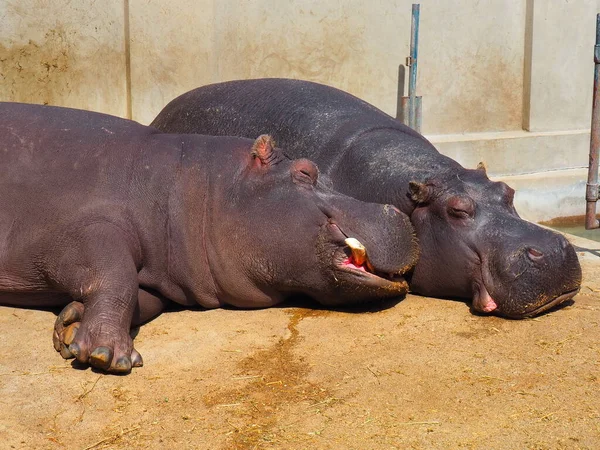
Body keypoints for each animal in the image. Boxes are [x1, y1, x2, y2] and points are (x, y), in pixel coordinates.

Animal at [0, 101, 420, 372]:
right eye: (306, 171)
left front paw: (71, 323)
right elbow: (115, 275)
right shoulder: (76, 230)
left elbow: (139, 296)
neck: (190, 185)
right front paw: (108, 355)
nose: (396, 209)